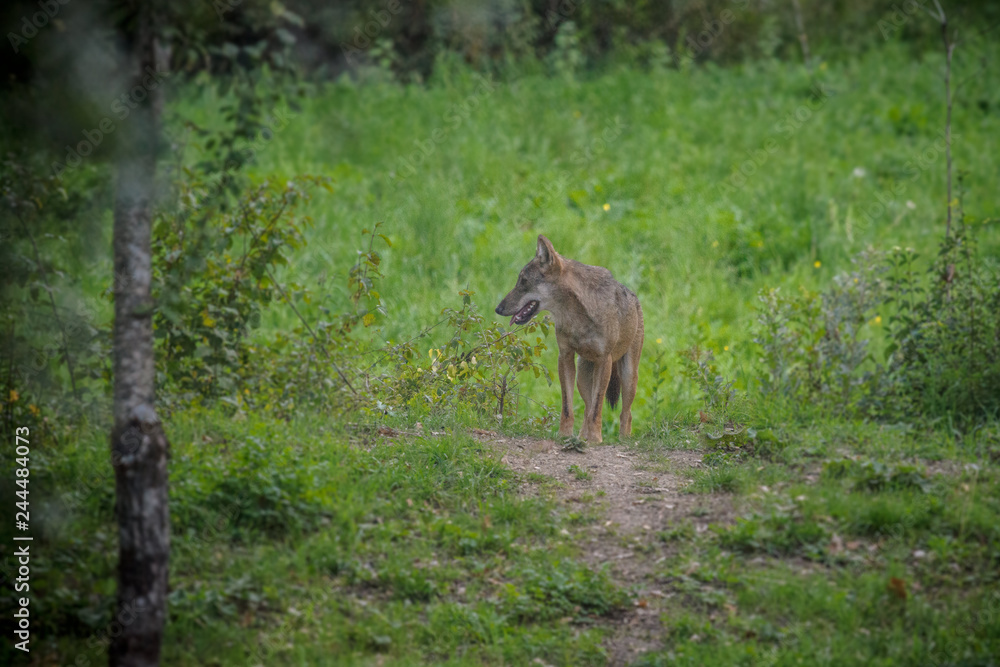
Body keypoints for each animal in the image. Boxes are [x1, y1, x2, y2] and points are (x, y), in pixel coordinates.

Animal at [496, 236, 644, 444]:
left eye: (523, 281)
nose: (498, 309)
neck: (577, 317)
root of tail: (634, 297)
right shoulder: (565, 356)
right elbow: (568, 407)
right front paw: (565, 435)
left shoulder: (604, 360)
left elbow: (597, 409)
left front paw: (596, 439)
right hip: (582, 377)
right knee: (587, 409)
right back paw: (582, 437)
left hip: (628, 377)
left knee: (625, 414)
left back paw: (622, 439)